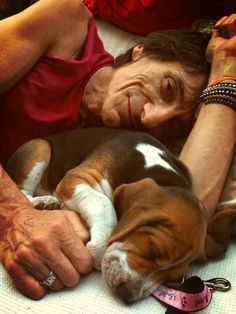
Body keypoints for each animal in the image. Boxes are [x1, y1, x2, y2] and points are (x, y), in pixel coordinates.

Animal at [5, 127, 207, 304]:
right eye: (153, 247)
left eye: (173, 279)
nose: (127, 294)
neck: (155, 168)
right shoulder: (76, 178)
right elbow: (103, 204)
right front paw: (98, 249)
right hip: (39, 147)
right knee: (22, 191)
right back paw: (43, 202)